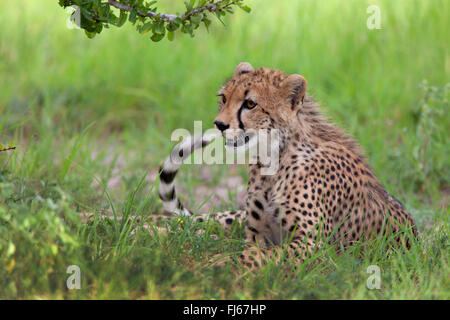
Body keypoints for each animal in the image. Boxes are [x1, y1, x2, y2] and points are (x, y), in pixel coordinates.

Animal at [158, 62, 418, 268]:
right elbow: (251, 251)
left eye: (250, 104)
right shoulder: (255, 235)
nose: (219, 124)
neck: (272, 158)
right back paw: (150, 228)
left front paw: (215, 262)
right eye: (223, 98)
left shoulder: (313, 245)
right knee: (192, 220)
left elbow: (257, 256)